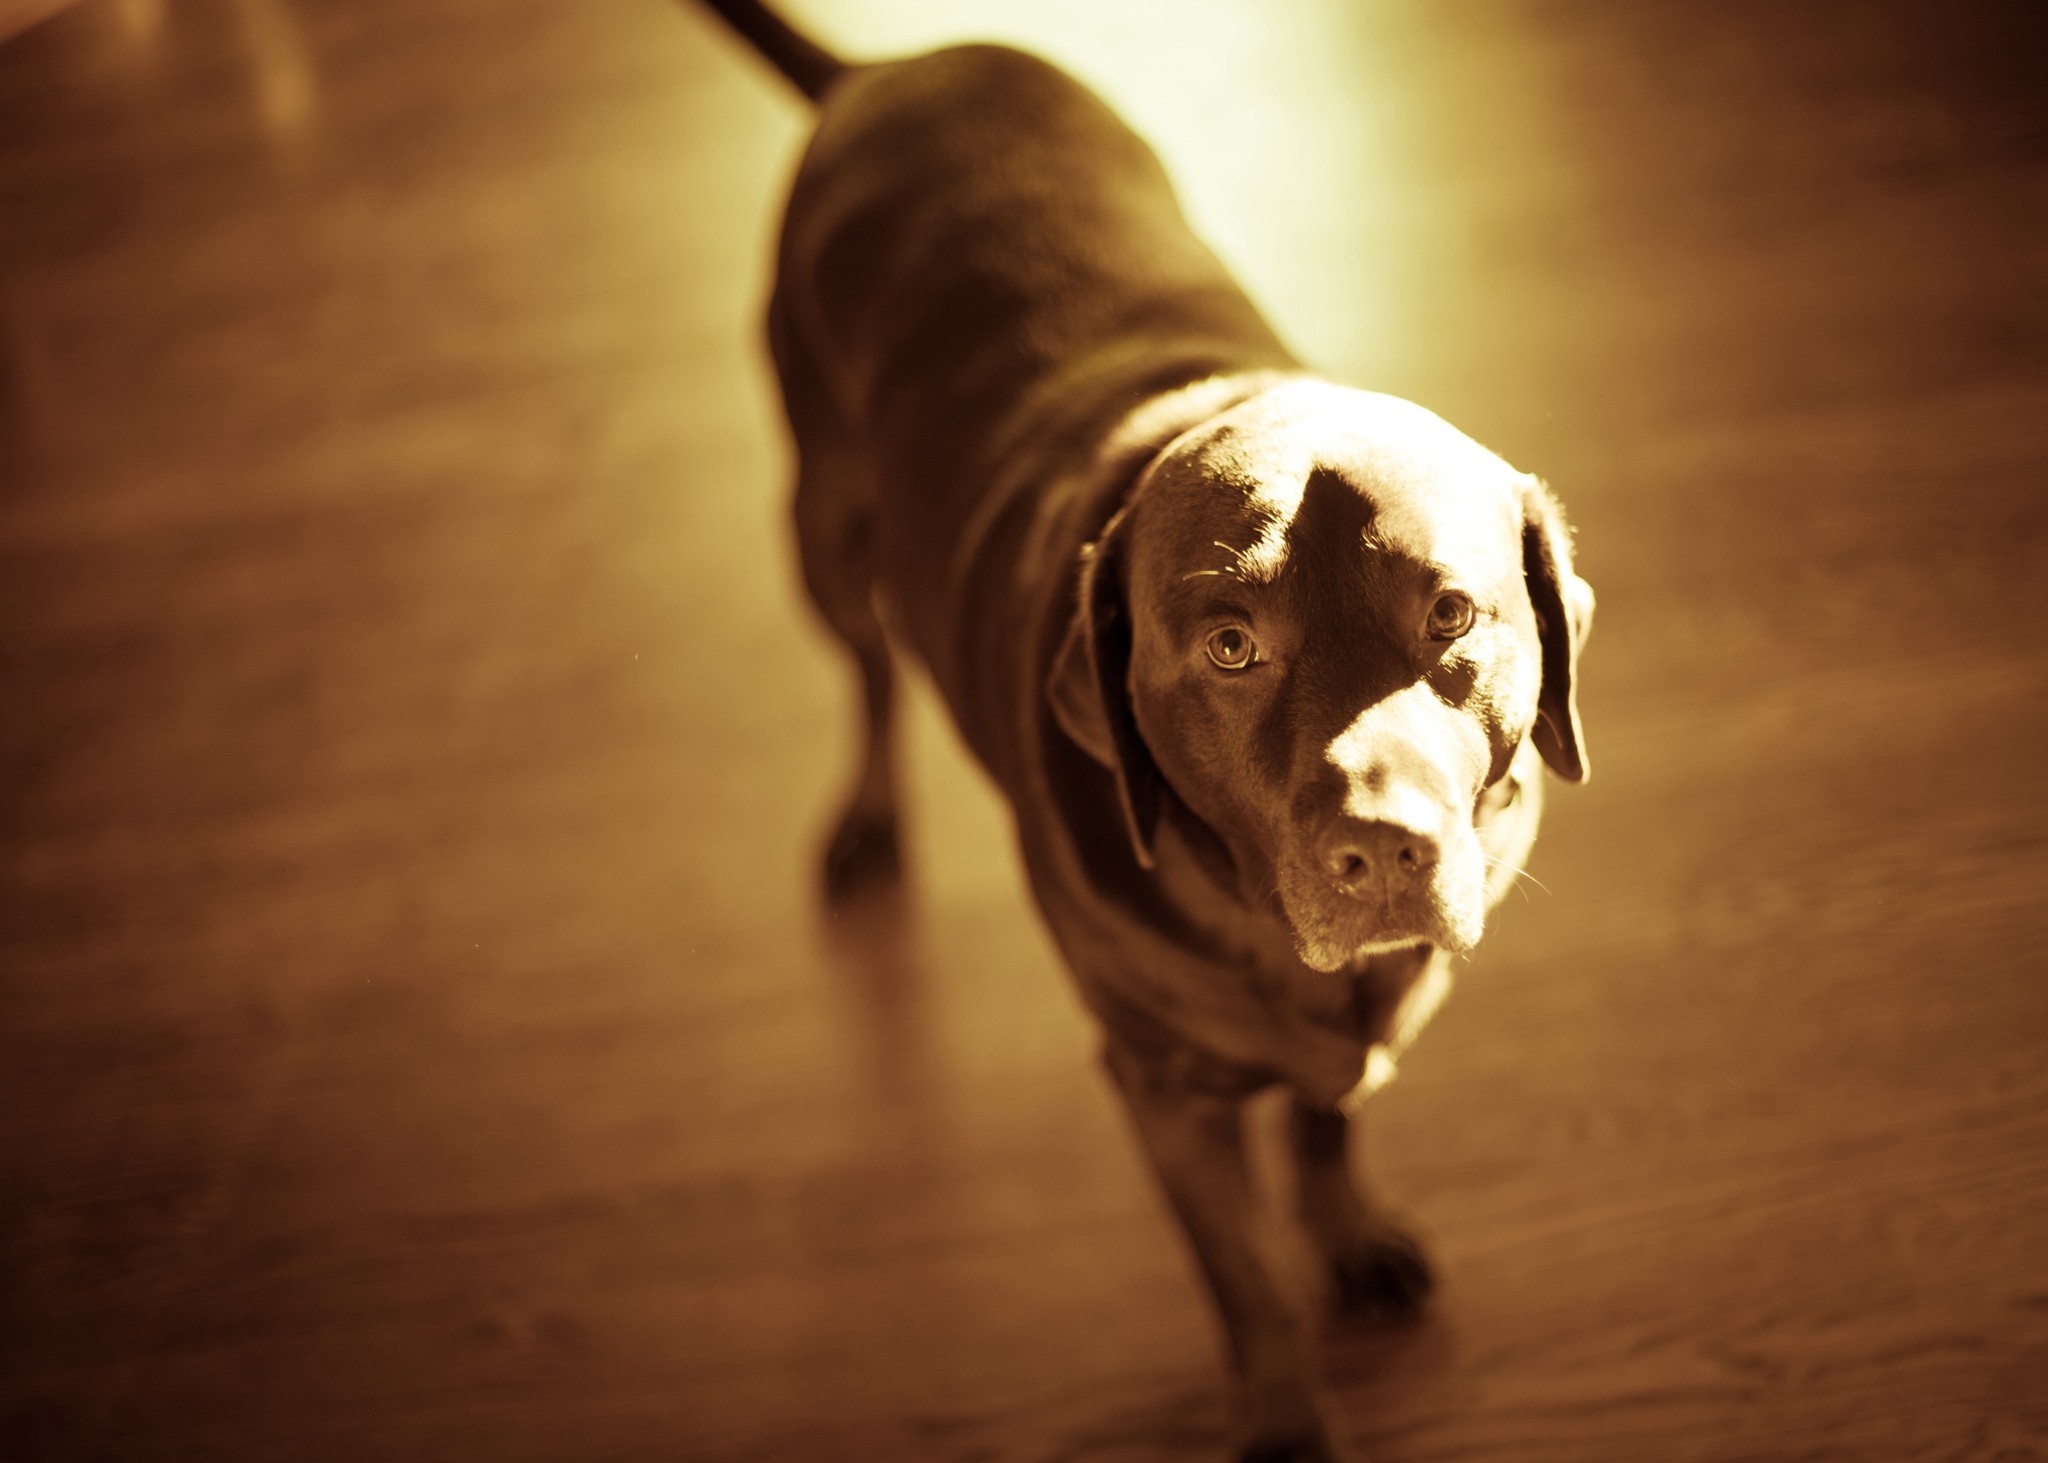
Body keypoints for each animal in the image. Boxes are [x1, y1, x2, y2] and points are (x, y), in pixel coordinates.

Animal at [696, 5, 1589, 1450]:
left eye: (1453, 613)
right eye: (1229, 644)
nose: (1384, 850)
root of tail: (882, 70)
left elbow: (1325, 1122)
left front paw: (1347, 1231)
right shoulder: (1159, 1088)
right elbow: (1247, 1281)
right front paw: (1285, 1419)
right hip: (822, 517)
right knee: (869, 666)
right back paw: (868, 818)